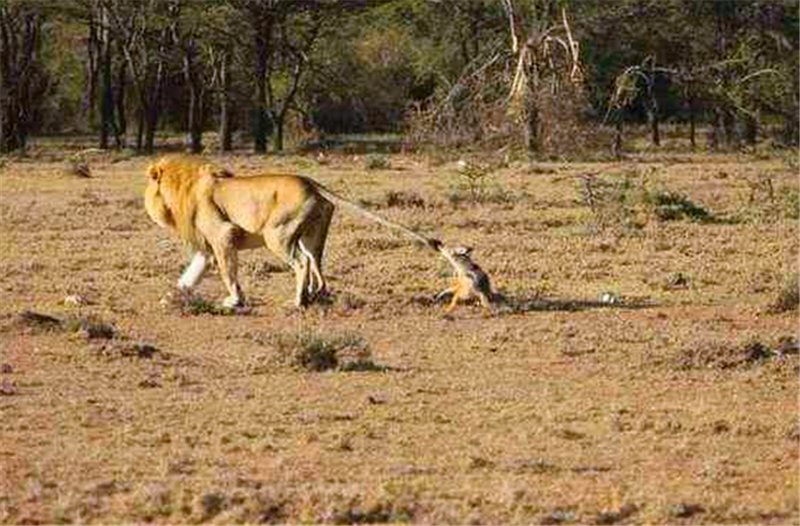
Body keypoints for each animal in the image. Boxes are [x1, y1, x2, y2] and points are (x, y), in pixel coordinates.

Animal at [143, 159, 432, 312]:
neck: (183, 187)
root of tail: (311, 183)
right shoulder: (207, 248)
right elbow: (189, 276)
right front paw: (170, 298)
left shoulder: (223, 235)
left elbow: (228, 273)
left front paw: (234, 300)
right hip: (310, 236)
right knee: (316, 263)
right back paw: (314, 295)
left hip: (276, 234)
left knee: (301, 263)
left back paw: (297, 301)